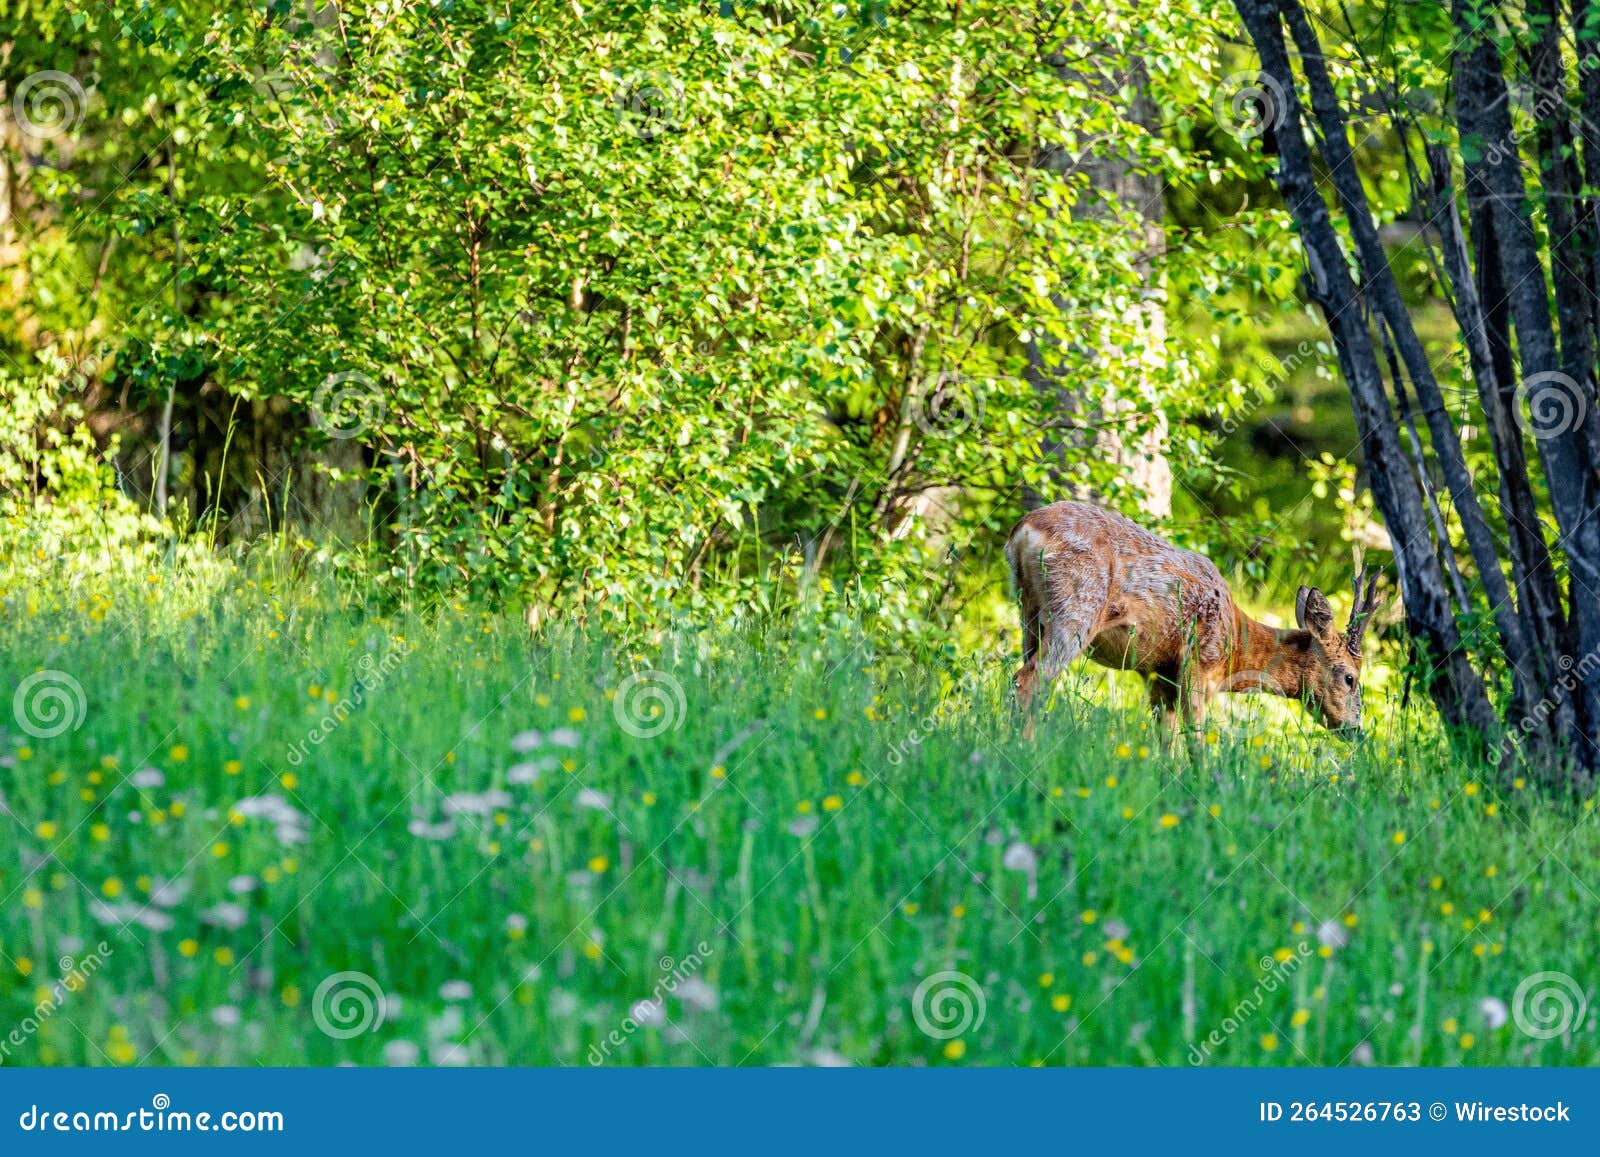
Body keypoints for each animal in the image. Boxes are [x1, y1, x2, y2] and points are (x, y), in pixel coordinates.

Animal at [1005, 501, 1381, 737]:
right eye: (1350, 678)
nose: (1355, 731)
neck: (1236, 647)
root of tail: (1023, 530)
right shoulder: (1198, 663)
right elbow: (1196, 739)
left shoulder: (1159, 675)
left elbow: (1166, 741)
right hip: (1077, 609)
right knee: (1030, 680)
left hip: (1029, 612)